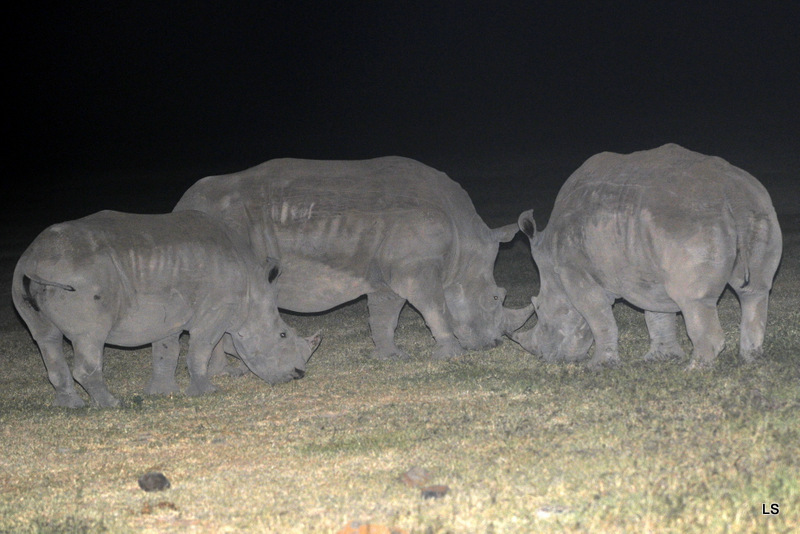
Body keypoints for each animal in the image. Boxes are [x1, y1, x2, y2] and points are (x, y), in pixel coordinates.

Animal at [10, 211, 320, 408]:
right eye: (283, 335)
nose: (298, 374)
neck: (252, 289)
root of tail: (35, 259)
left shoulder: (168, 312)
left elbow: (166, 351)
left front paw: (162, 393)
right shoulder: (215, 311)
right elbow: (201, 349)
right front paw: (206, 392)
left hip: (22, 275)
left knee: (46, 338)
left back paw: (69, 406)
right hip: (81, 279)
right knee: (89, 337)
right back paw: (112, 404)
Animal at [178, 157, 536, 362]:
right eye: (495, 298)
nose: (492, 345)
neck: (464, 243)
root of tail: (181, 205)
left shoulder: (390, 274)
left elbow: (385, 315)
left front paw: (390, 356)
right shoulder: (417, 268)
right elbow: (435, 307)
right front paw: (452, 354)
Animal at [512, 144, 780, 370]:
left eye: (541, 312)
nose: (544, 356)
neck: (551, 264)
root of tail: (729, 193)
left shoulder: (574, 271)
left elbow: (598, 317)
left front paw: (598, 366)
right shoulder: (646, 268)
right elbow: (657, 313)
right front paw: (661, 358)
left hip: (690, 221)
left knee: (693, 300)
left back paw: (694, 370)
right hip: (757, 206)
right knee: (755, 290)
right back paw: (752, 360)